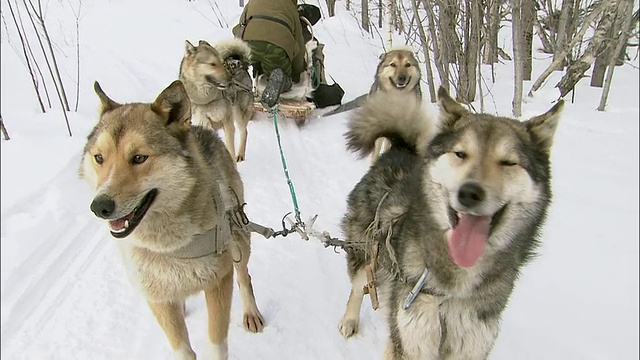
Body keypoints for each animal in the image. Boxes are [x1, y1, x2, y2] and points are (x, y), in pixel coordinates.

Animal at [79, 80, 264, 358]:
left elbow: (216, 341)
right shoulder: (158, 298)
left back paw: (251, 312)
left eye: (139, 158)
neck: (171, 247)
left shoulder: (219, 281)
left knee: (244, 276)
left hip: (239, 240)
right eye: (99, 158)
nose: (99, 206)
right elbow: (182, 348)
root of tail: (201, 129)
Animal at [338, 86, 564, 358]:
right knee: (358, 286)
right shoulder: (409, 341)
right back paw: (349, 320)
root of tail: (399, 149)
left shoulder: (471, 347)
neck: (451, 295)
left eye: (508, 162)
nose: (470, 193)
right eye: (460, 154)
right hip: (364, 253)